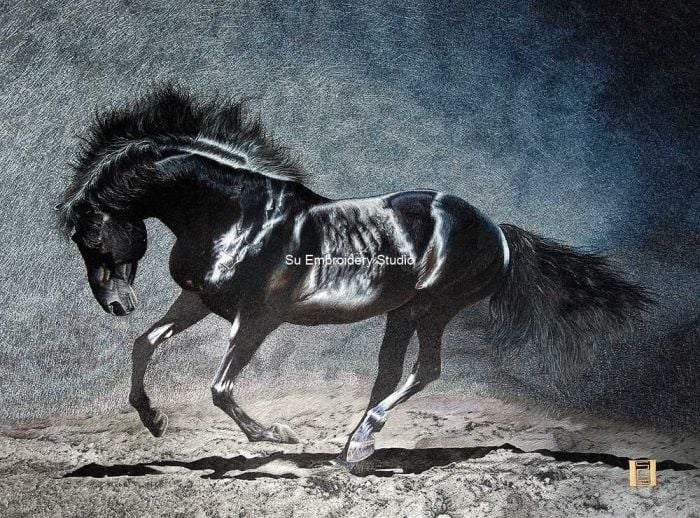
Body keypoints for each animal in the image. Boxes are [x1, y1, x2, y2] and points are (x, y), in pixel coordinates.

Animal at [56, 87, 651, 468]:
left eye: (92, 233)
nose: (116, 305)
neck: (239, 214)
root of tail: (496, 230)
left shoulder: (258, 317)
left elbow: (221, 388)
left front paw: (276, 435)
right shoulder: (197, 300)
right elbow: (145, 343)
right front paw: (153, 420)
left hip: (433, 308)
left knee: (425, 371)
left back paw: (361, 443)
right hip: (402, 311)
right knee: (390, 374)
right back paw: (352, 447)